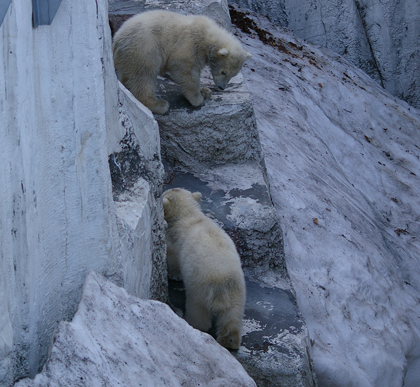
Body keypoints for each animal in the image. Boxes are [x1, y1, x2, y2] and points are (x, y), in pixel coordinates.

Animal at [111, 9, 251, 114]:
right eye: (223, 72)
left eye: (233, 75)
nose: (222, 87)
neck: (207, 35)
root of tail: (117, 40)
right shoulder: (189, 45)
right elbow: (185, 71)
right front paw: (198, 98)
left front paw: (205, 91)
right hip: (143, 48)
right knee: (144, 75)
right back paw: (159, 105)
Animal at [162, 189, 246, 352]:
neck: (190, 215)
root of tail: (221, 283)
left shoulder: (176, 240)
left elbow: (172, 257)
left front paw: (173, 275)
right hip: (236, 291)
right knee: (232, 315)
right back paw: (230, 341)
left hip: (200, 287)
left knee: (198, 310)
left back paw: (195, 326)